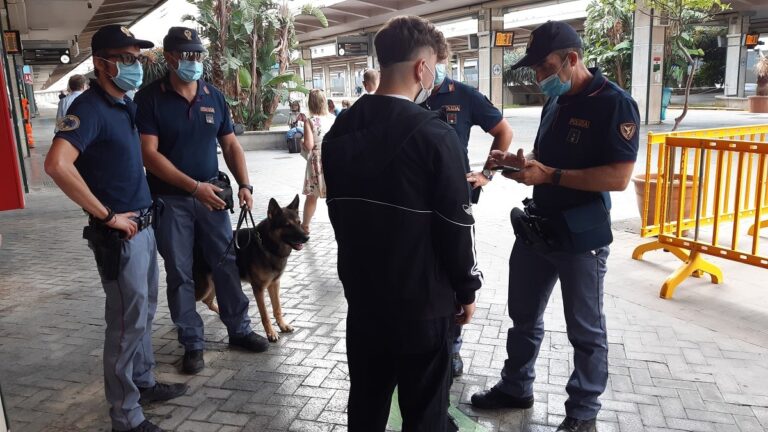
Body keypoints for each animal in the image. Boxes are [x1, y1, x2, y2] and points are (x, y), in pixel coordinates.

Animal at [192, 195, 308, 340]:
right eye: (287, 225)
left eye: (299, 222)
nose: (307, 237)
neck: (266, 244)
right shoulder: (259, 289)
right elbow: (265, 314)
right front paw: (270, 333)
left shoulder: (274, 284)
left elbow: (277, 308)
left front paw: (282, 325)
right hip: (204, 287)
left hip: (215, 283)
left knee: (207, 300)